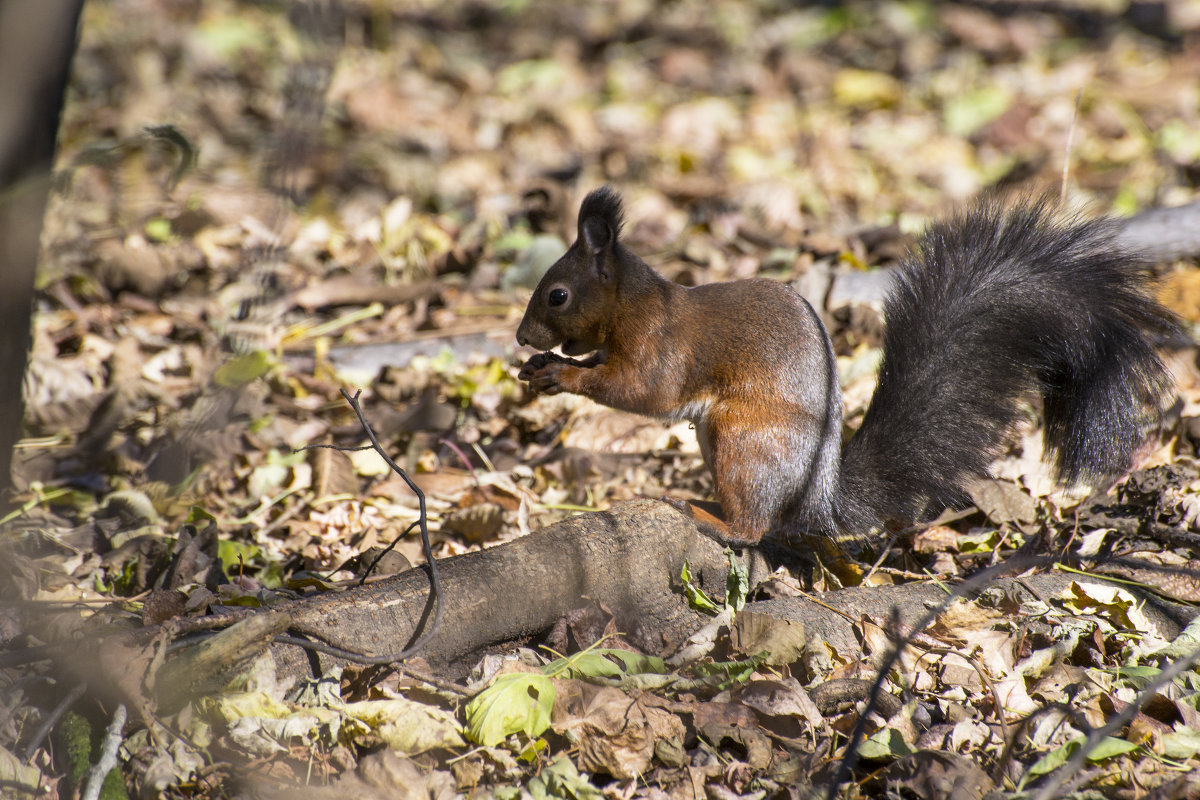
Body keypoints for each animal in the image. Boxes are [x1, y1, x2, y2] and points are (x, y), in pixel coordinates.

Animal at [516, 188, 1180, 546]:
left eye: (557, 295)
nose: (522, 338)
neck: (634, 302)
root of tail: (818, 498)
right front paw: (545, 365)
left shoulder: (660, 346)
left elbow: (640, 390)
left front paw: (561, 374)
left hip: (744, 439)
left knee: (754, 529)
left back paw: (709, 518)